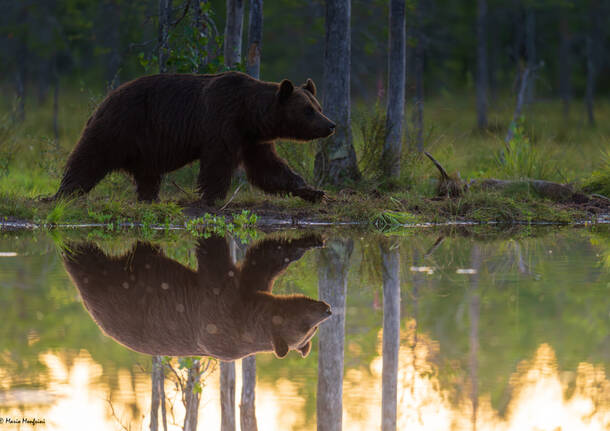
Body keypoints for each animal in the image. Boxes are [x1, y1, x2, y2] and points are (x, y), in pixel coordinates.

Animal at [52, 71, 334, 205]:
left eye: (318, 106)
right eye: (308, 110)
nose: (330, 125)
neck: (250, 115)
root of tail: (105, 98)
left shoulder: (253, 139)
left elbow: (268, 169)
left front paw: (314, 191)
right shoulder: (222, 120)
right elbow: (218, 162)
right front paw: (212, 197)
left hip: (145, 145)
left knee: (147, 174)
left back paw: (149, 197)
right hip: (122, 125)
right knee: (89, 157)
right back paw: (62, 193)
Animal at [60, 235, 332, 360]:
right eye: (308, 326)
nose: (327, 309)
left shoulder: (245, 294)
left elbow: (263, 259)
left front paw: (306, 242)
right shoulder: (221, 312)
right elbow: (218, 261)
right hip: (111, 289)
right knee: (86, 259)